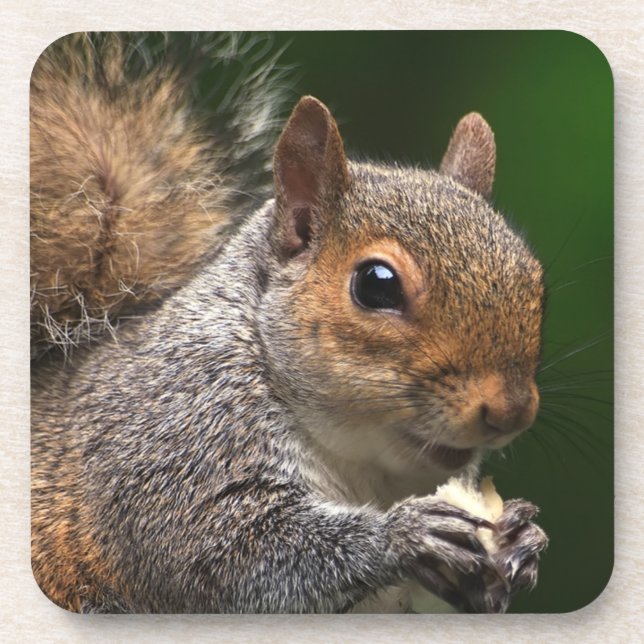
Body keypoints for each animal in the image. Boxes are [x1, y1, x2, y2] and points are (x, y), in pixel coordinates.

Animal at [31, 33, 548, 614]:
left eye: (535, 278)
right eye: (377, 285)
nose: (511, 412)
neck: (360, 461)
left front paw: (523, 542)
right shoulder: (169, 446)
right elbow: (229, 554)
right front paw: (403, 535)